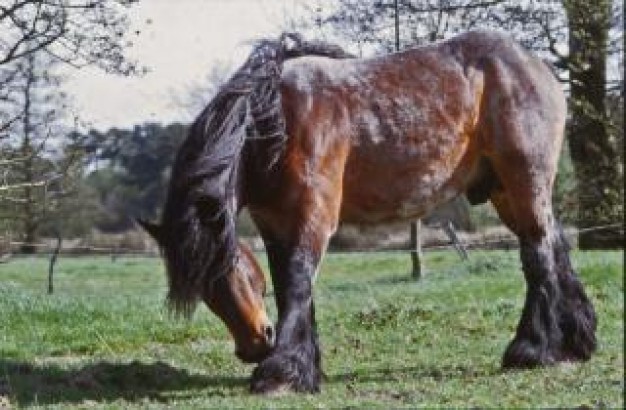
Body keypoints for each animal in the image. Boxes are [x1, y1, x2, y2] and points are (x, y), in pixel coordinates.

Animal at [136, 28, 596, 394]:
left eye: (232, 270)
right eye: (206, 290)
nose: (254, 346)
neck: (279, 120)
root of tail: (535, 65)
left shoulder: (313, 217)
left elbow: (299, 284)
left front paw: (279, 373)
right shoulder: (274, 224)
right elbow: (289, 288)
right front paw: (305, 369)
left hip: (524, 182)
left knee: (537, 256)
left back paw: (530, 349)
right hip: (505, 191)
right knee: (554, 248)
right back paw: (575, 343)